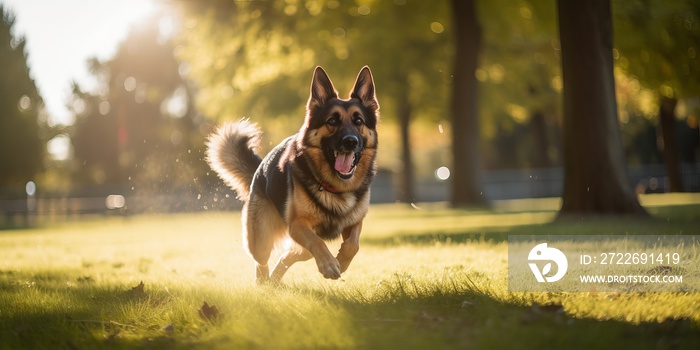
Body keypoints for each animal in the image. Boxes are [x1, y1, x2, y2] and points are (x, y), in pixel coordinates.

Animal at [208, 67, 380, 284]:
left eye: (358, 121)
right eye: (332, 120)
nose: (350, 141)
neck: (336, 187)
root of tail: (260, 168)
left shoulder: (355, 222)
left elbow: (353, 245)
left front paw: (342, 259)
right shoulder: (298, 224)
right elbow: (317, 242)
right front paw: (329, 264)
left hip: (296, 245)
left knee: (292, 254)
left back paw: (275, 279)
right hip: (261, 240)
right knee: (262, 260)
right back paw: (263, 283)